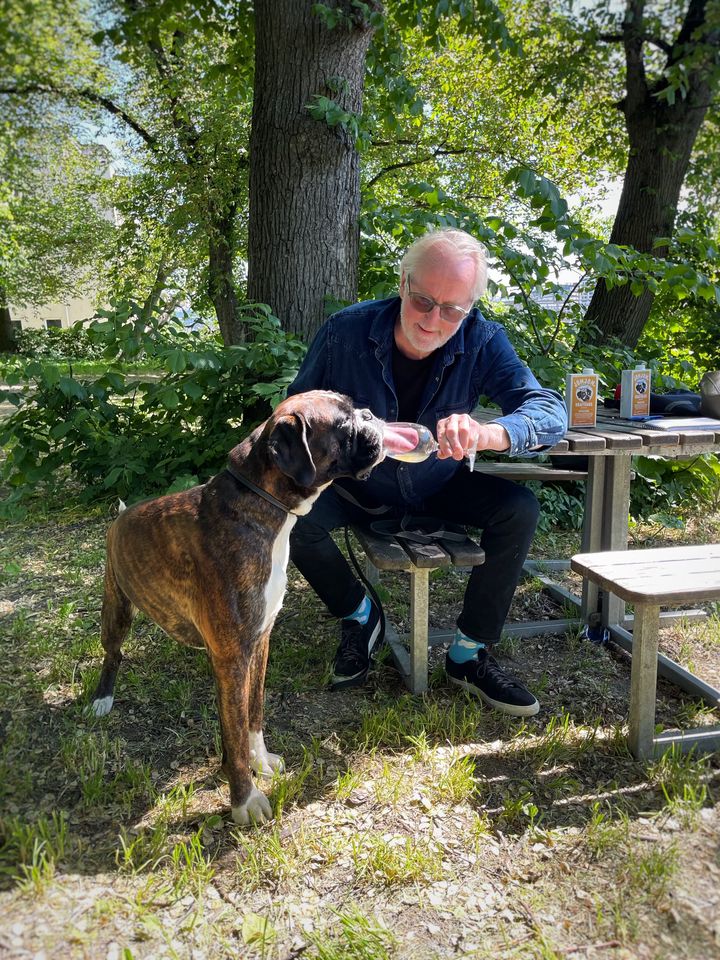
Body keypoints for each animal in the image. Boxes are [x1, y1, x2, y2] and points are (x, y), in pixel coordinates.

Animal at [92, 390, 386, 824]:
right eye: (344, 425)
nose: (370, 415)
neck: (259, 506)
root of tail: (121, 516)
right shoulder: (233, 657)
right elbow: (234, 725)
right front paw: (244, 799)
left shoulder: (259, 643)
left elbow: (252, 714)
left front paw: (257, 761)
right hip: (116, 609)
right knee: (113, 654)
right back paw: (102, 699)